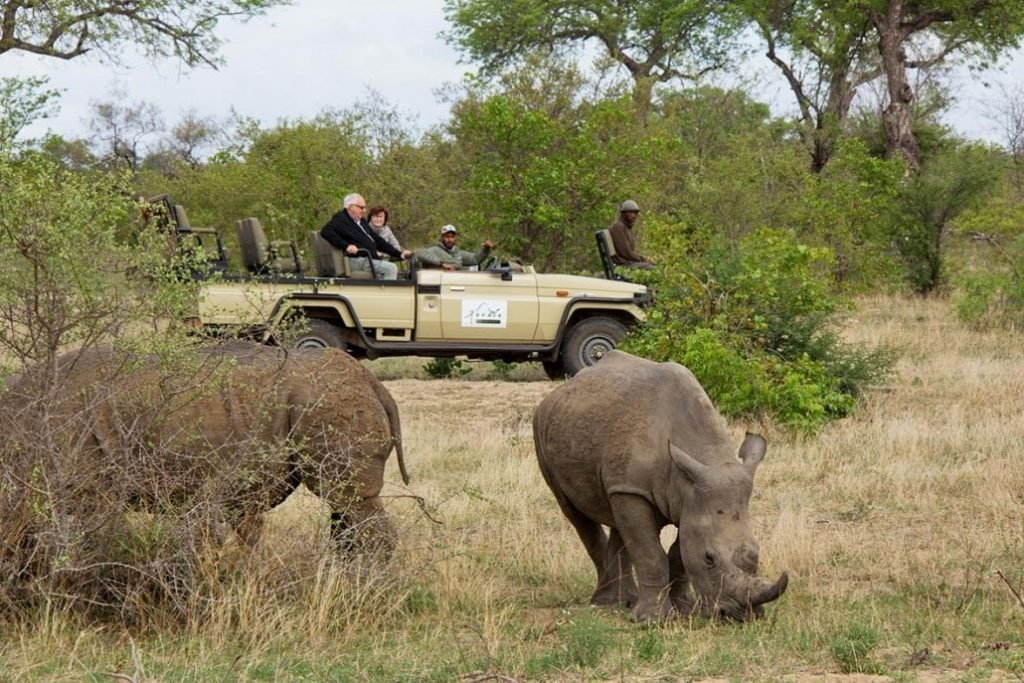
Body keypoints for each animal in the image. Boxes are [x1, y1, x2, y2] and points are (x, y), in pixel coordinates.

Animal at [532, 350, 788, 622]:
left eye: (756, 552)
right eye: (709, 558)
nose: (741, 615)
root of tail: (558, 391)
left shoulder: (691, 495)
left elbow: (678, 553)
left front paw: (683, 608)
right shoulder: (653, 489)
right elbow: (651, 554)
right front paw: (652, 620)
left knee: (618, 517)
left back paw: (626, 602)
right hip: (541, 429)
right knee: (575, 513)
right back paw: (606, 603)